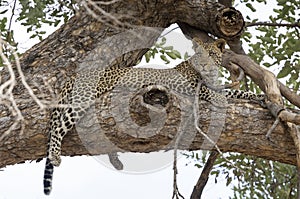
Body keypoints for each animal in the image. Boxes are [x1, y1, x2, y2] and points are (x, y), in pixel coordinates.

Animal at [42, 38, 264, 195]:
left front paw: (260, 97)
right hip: (81, 100)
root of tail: (74, 76)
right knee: (57, 127)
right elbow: (219, 94)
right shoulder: (193, 88)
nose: (204, 65)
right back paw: (55, 155)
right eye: (199, 55)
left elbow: (236, 93)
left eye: (211, 54)